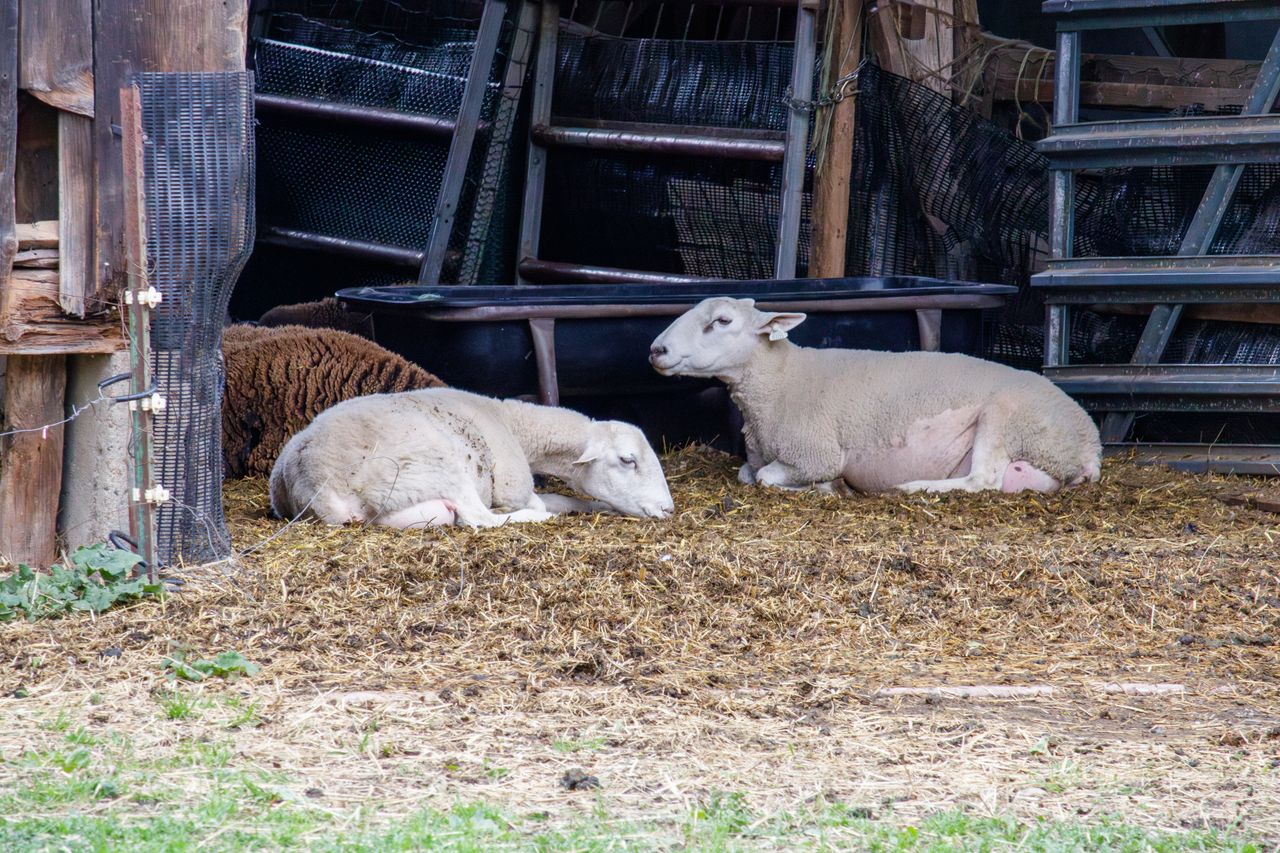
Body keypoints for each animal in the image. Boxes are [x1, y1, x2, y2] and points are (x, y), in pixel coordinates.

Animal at [269, 387, 675, 528]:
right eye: (628, 461)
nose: (668, 509)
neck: (515, 424)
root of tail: (314, 480)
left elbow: (565, 498)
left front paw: (603, 508)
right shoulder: (512, 486)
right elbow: (542, 502)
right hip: (435, 467)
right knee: (480, 519)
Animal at [648, 297, 1102, 495]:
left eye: (722, 321)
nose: (656, 350)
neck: (780, 382)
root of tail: (1090, 445)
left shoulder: (815, 454)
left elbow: (764, 478)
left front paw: (827, 488)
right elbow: (747, 472)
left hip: (1009, 417)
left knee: (982, 480)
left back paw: (917, 487)